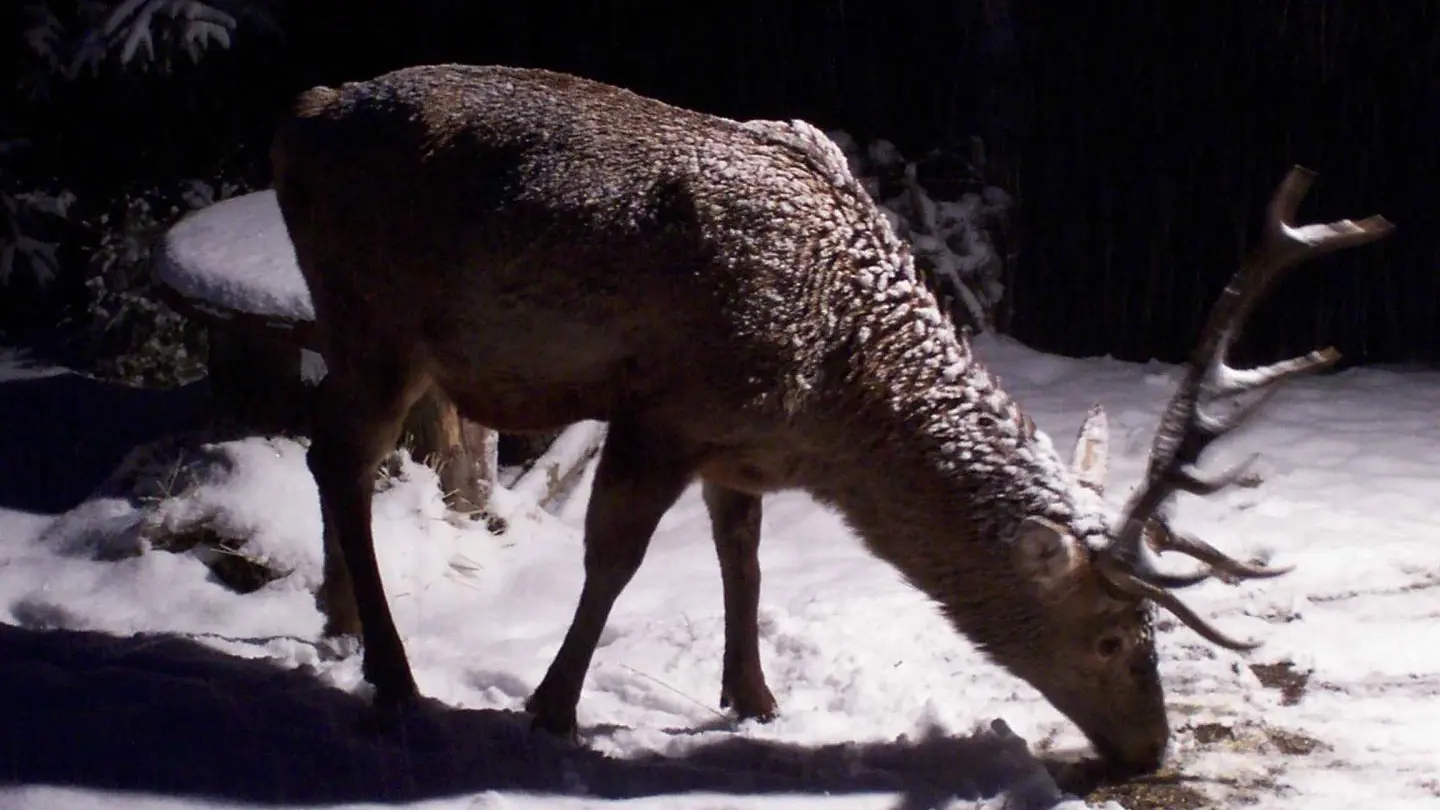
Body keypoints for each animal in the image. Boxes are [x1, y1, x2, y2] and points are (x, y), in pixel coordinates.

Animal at [268, 63, 1392, 780]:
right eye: (1117, 637)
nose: (1155, 748)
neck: (832, 400)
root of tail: (303, 112)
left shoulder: (739, 443)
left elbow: (744, 556)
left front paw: (754, 698)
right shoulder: (664, 406)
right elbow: (614, 559)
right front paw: (552, 710)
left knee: (334, 455)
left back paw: (341, 626)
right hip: (373, 313)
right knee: (340, 455)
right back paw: (393, 672)